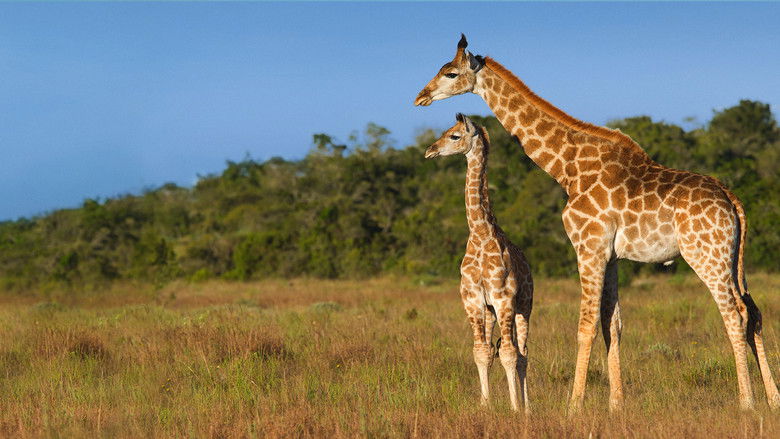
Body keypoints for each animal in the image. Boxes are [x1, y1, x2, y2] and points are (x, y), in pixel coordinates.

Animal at [425, 113, 534, 413]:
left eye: (454, 136)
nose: (430, 150)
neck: (480, 233)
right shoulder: (473, 300)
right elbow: (481, 352)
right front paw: (485, 405)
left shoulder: (504, 298)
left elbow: (509, 353)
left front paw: (515, 407)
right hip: (489, 311)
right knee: (498, 349)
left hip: (524, 306)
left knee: (523, 352)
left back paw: (527, 406)